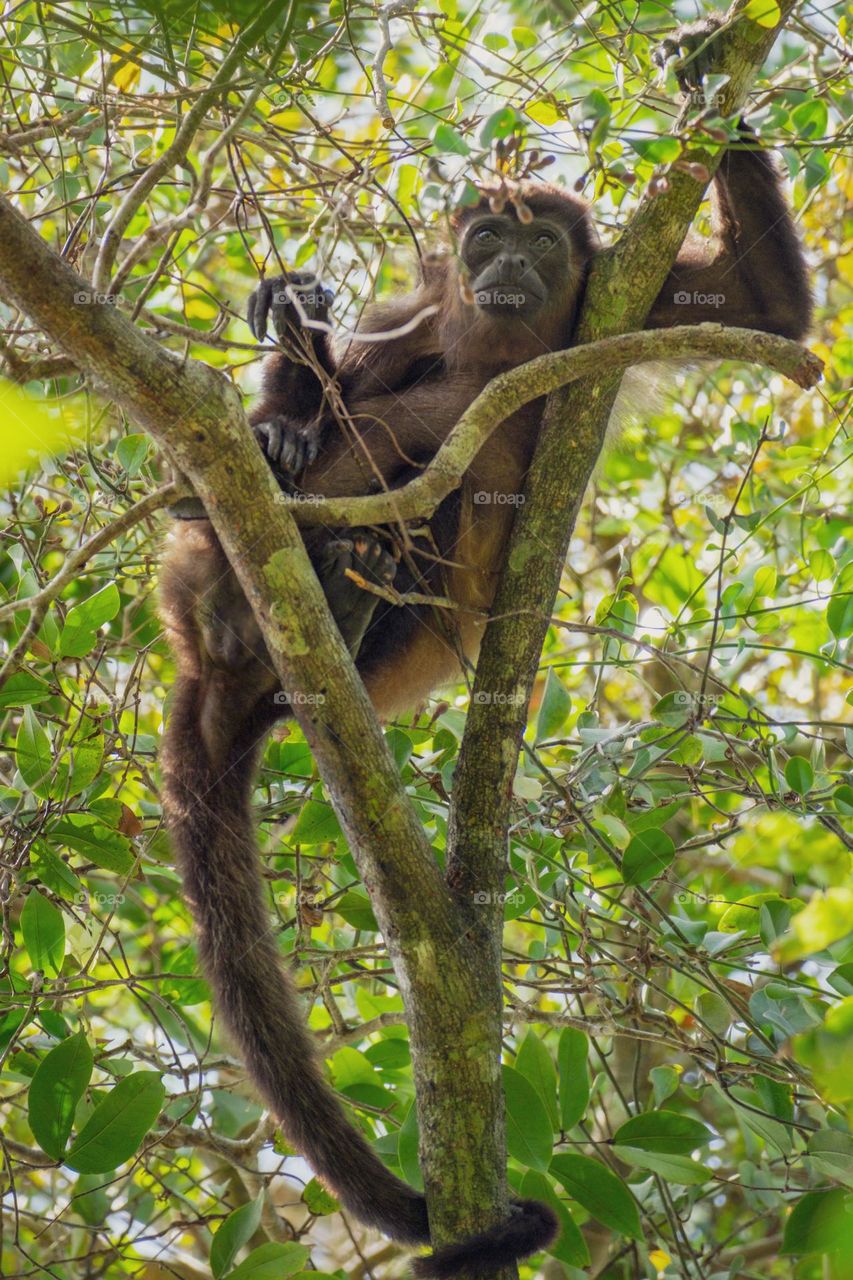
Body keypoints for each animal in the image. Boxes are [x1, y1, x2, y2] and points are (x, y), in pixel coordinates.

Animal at [161, 22, 809, 1280]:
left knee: (423, 497)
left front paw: (710, 72)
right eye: (485, 237)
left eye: (542, 239)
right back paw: (277, 492)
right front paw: (289, 340)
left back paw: (342, 596)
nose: (506, 260)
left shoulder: (630, 291)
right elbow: (351, 366)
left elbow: (765, 308)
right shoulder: (410, 312)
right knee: (348, 442)